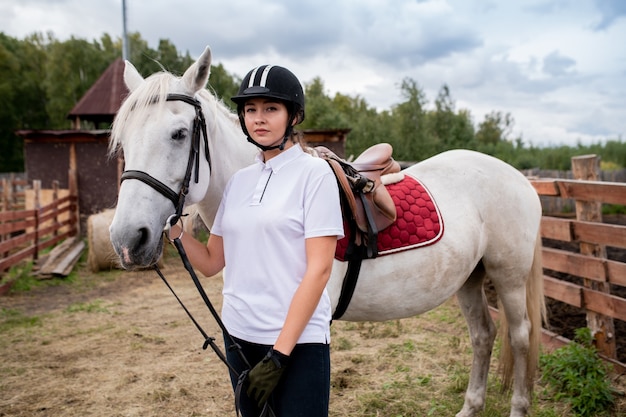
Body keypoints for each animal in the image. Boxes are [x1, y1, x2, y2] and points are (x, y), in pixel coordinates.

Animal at [109, 46, 544, 416]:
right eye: (123, 139)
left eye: (179, 134)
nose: (128, 239)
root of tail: (518, 177)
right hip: (470, 278)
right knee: (483, 335)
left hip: (508, 276)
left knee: (520, 337)